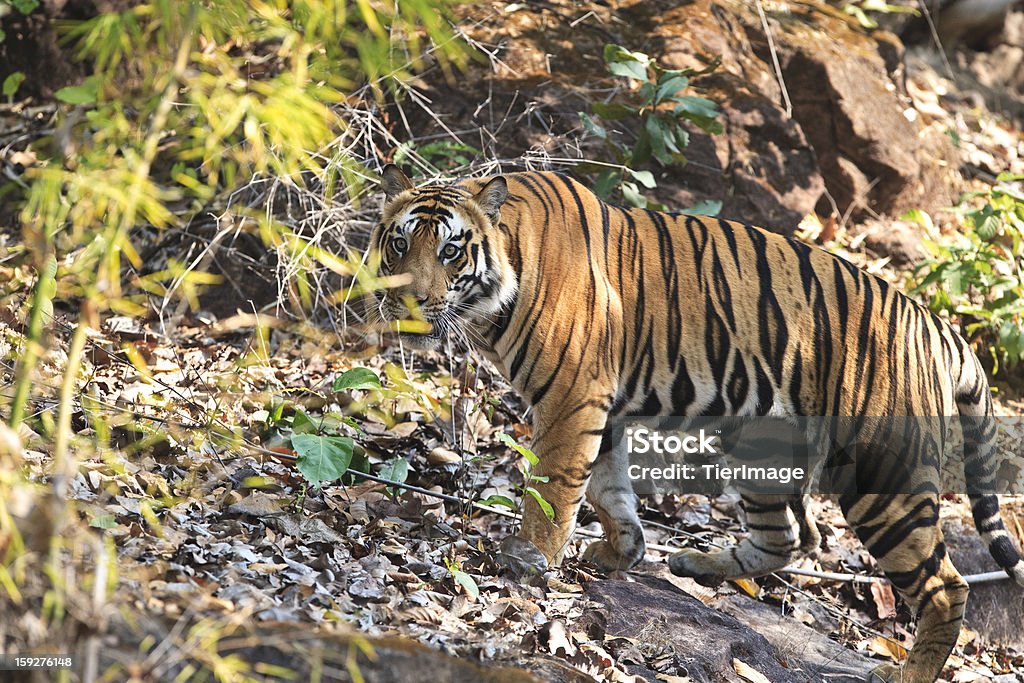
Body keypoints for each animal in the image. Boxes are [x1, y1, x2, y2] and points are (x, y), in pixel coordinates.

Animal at [368, 166, 1024, 683]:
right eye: (399, 244)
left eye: (450, 251)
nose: (407, 299)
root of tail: (939, 326)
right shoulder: (602, 408)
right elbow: (606, 487)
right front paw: (621, 551)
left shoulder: (572, 399)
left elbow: (554, 488)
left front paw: (528, 559)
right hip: (763, 448)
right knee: (793, 537)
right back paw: (696, 565)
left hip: (881, 479)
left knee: (945, 587)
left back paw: (904, 672)